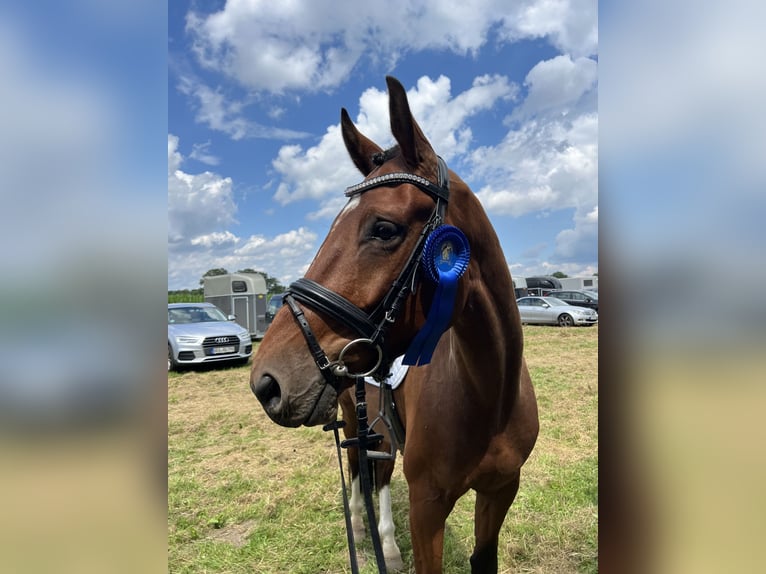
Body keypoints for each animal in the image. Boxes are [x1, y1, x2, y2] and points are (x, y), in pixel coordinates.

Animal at [252, 76, 540, 574]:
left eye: (384, 229)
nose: (266, 382)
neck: (488, 396)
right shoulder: (427, 506)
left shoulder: (501, 490)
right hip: (355, 417)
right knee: (362, 469)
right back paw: (368, 533)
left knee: (378, 469)